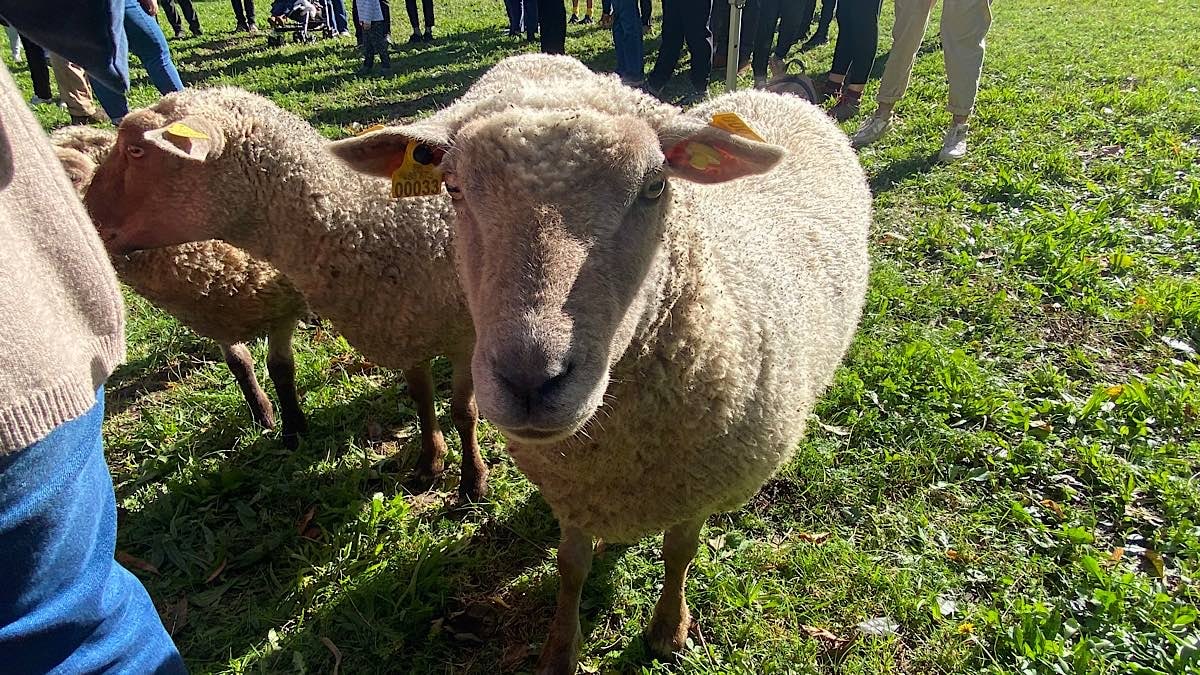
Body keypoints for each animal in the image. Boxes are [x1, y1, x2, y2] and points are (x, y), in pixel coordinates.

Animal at [48, 130, 309, 446]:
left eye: (72, 177)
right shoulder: (213, 317)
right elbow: (239, 363)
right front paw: (261, 414)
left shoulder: (281, 310)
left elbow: (280, 368)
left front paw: (294, 429)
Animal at [84, 88, 489, 499]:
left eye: (136, 150)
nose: (89, 217)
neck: (375, 222)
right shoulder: (406, 330)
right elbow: (422, 400)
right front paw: (429, 463)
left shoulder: (463, 337)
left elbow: (462, 411)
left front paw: (472, 481)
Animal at [328, 55, 873, 667]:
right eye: (452, 186)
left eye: (656, 185)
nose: (529, 381)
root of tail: (780, 94)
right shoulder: (574, 491)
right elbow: (571, 568)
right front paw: (559, 650)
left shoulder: (697, 488)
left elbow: (679, 552)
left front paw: (668, 630)